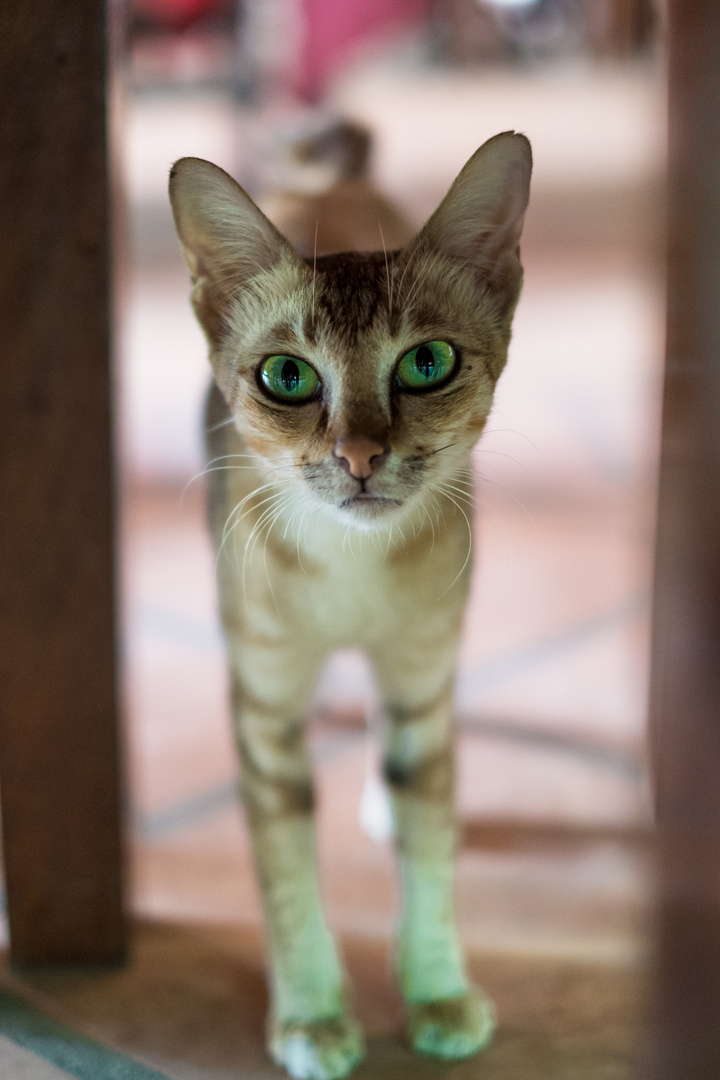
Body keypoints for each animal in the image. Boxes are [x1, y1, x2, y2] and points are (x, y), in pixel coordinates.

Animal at [167, 128, 528, 1080]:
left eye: (428, 363)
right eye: (287, 376)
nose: (360, 456)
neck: (351, 571)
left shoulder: (422, 668)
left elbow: (430, 844)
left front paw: (438, 991)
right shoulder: (261, 703)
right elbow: (286, 870)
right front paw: (312, 1015)